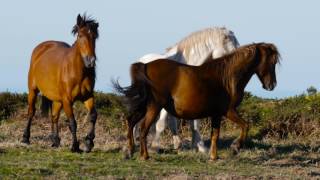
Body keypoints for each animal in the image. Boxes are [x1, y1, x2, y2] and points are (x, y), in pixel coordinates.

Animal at [21, 14, 99, 153]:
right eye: (80, 35)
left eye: (95, 36)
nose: (90, 61)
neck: (77, 71)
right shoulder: (67, 100)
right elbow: (72, 122)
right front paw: (75, 146)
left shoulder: (88, 96)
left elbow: (93, 116)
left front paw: (89, 142)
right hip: (33, 90)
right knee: (31, 112)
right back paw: (25, 138)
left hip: (57, 99)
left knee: (54, 116)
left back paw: (55, 141)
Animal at [114, 42, 280, 160]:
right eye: (271, 62)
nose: (271, 85)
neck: (227, 78)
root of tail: (146, 65)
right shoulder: (228, 111)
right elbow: (245, 125)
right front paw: (235, 147)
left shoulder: (216, 114)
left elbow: (215, 135)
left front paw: (213, 156)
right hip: (154, 107)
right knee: (143, 128)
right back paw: (145, 155)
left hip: (144, 106)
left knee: (131, 122)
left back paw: (130, 151)